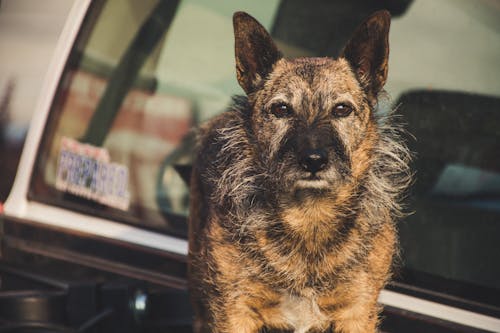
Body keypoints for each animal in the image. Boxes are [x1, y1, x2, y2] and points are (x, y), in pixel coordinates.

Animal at [188, 9, 410, 332]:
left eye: (342, 109)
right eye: (281, 109)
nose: (314, 160)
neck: (309, 218)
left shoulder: (357, 313)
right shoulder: (234, 310)